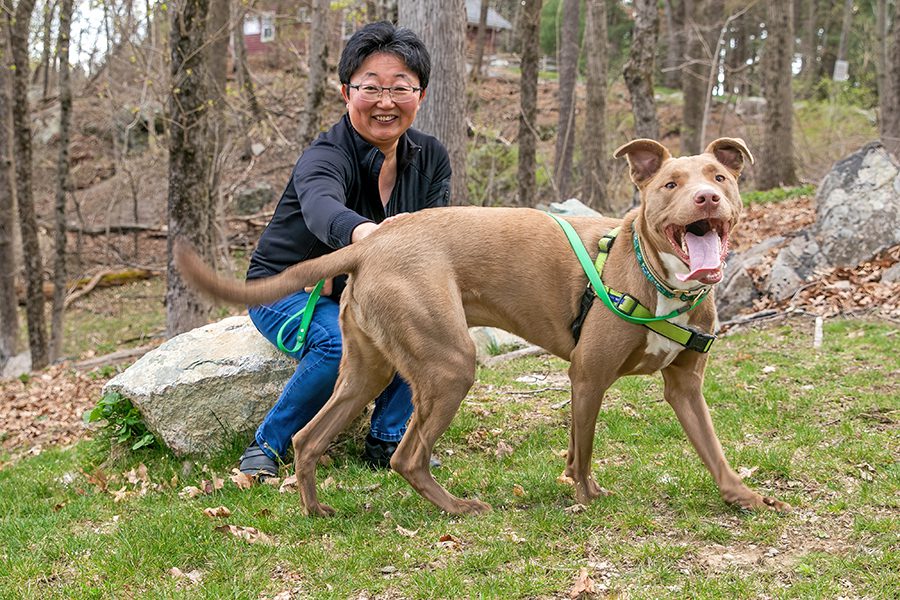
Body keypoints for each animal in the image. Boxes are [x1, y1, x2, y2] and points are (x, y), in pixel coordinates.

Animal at [174, 137, 788, 516]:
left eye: (721, 177)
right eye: (669, 185)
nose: (706, 197)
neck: (661, 278)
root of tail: (374, 242)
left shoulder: (685, 385)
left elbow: (712, 448)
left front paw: (743, 496)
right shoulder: (588, 375)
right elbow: (585, 448)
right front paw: (586, 497)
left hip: (365, 370)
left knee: (308, 438)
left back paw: (316, 510)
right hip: (449, 364)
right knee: (405, 456)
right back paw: (458, 508)